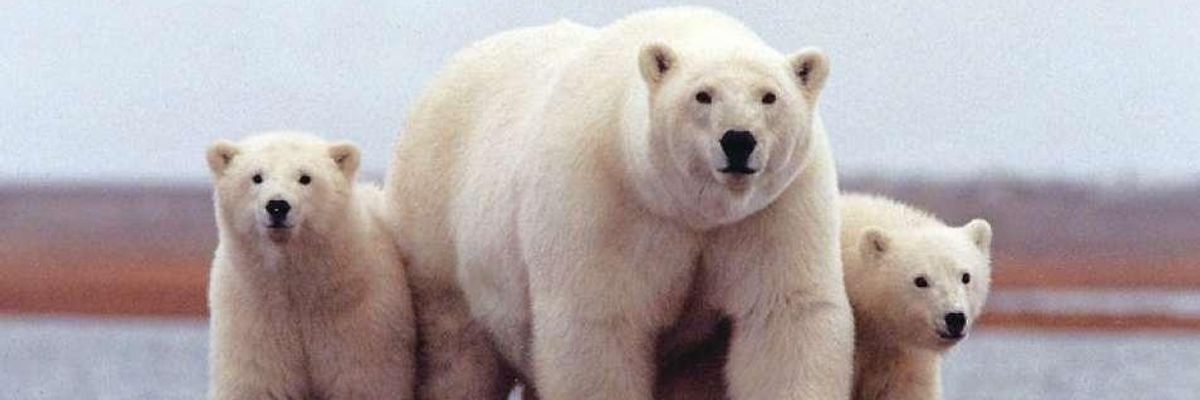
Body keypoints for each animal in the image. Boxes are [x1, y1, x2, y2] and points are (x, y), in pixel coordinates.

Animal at [206, 132, 416, 399]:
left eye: (305, 177)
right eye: (256, 177)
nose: (277, 206)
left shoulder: (360, 319)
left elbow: (361, 381)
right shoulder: (254, 315)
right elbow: (260, 381)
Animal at [385, 7, 852, 399]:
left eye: (769, 96)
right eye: (703, 95)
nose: (738, 140)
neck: (691, 211)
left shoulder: (776, 209)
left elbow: (784, 314)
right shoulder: (605, 201)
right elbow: (598, 326)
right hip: (437, 225)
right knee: (457, 350)